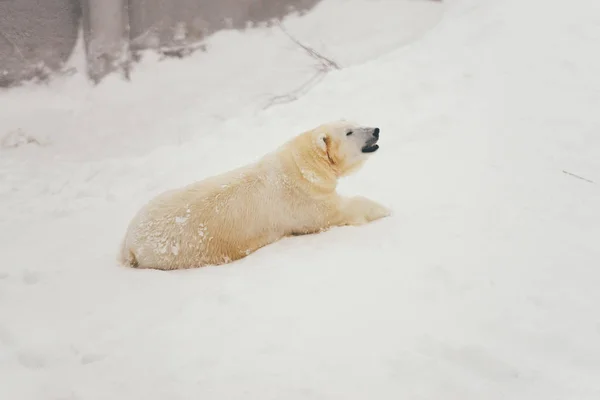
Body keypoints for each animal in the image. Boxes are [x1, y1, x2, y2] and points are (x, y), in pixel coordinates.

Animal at [119, 120, 392, 270]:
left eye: (356, 122)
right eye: (349, 132)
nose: (376, 130)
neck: (302, 168)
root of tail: (128, 241)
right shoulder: (303, 200)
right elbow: (339, 211)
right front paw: (384, 208)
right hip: (174, 252)